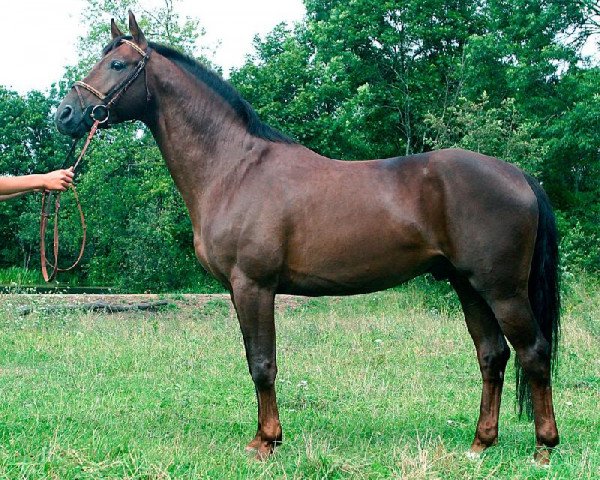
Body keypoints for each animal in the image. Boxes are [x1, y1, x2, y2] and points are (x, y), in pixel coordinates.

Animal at [54, 12, 560, 464]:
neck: (234, 169)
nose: (64, 113)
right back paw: (480, 445)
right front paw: (264, 437)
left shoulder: (253, 285)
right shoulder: (239, 291)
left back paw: (543, 449)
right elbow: (255, 361)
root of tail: (519, 176)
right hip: (467, 286)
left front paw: (266, 442)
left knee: (533, 353)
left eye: (119, 64)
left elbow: (263, 363)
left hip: (502, 289)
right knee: (493, 356)